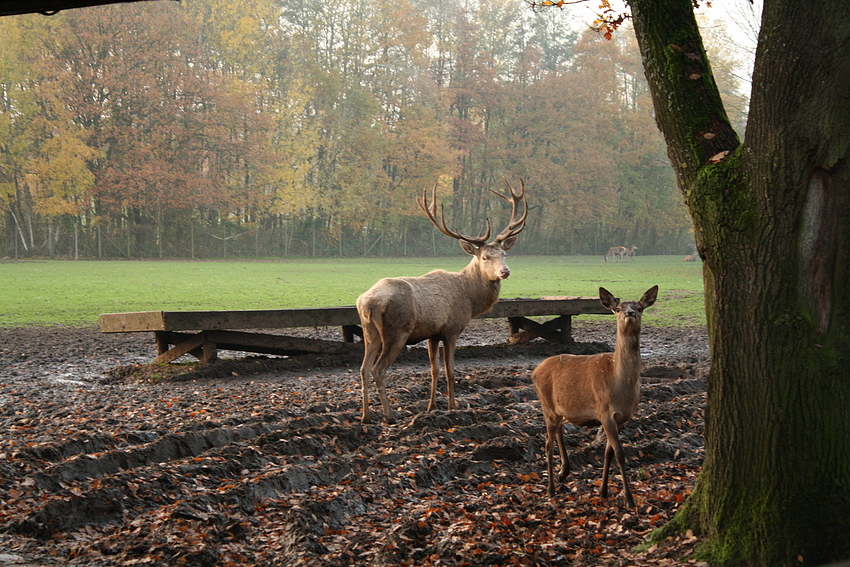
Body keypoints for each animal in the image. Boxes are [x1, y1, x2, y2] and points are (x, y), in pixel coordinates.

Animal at [356, 180, 528, 424]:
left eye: (504, 254)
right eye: (485, 257)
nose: (505, 271)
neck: (470, 298)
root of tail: (367, 302)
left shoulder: (432, 334)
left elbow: (434, 369)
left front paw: (431, 407)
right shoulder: (452, 329)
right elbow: (450, 370)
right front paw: (452, 407)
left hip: (370, 332)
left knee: (363, 368)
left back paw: (366, 415)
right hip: (396, 331)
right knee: (377, 370)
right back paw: (389, 415)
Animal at [528, 286, 656, 508]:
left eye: (640, 307)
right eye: (618, 308)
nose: (630, 313)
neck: (619, 384)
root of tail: (535, 371)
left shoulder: (622, 418)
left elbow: (608, 453)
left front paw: (603, 492)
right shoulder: (605, 411)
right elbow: (620, 453)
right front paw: (629, 499)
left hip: (559, 409)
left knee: (559, 430)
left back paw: (564, 472)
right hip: (546, 405)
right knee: (547, 445)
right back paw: (551, 489)